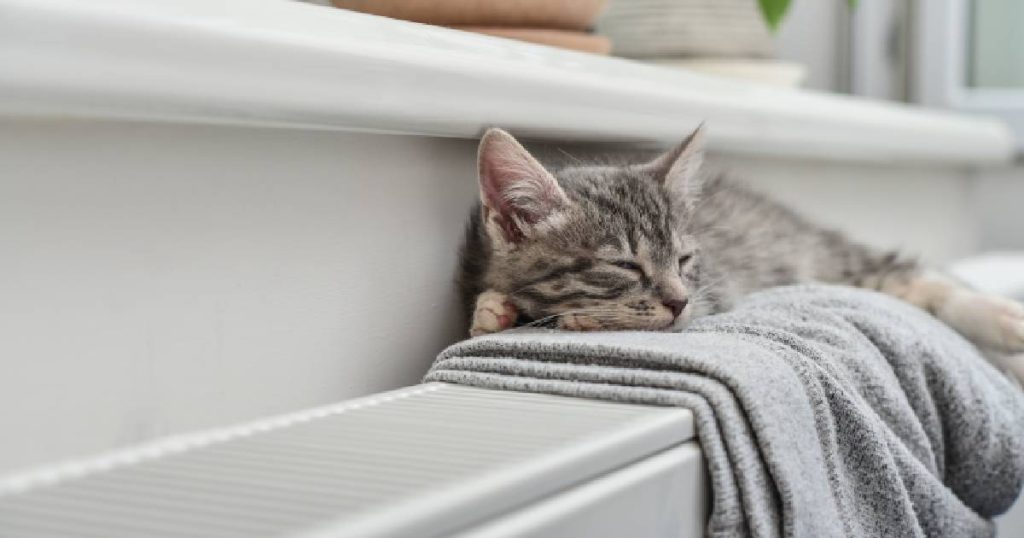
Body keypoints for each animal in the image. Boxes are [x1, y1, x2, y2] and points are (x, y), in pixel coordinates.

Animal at [460, 124, 1024, 354]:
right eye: (624, 265)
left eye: (685, 259)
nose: (679, 301)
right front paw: (494, 310)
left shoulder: (715, 288)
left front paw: (580, 317)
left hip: (824, 254)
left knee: (909, 274)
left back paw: (1002, 318)